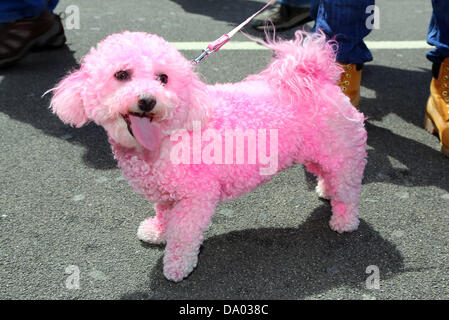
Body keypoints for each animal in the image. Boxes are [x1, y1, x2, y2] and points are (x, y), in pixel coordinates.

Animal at [50, 29, 368, 280]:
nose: (147, 100)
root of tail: (318, 78)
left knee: (347, 192)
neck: (166, 137)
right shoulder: (165, 193)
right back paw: (326, 190)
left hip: (342, 153)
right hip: (320, 153)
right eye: (121, 75)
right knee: (328, 176)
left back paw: (344, 221)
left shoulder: (196, 197)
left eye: (163, 78)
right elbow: (163, 215)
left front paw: (177, 265)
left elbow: (183, 235)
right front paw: (158, 231)